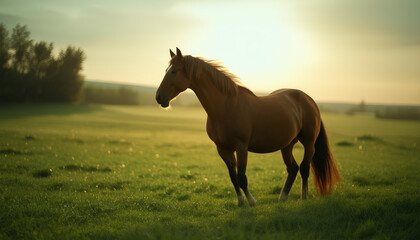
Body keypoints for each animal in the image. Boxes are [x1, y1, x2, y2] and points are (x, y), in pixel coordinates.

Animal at [156, 48, 340, 206]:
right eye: (166, 70)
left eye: (174, 72)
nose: (159, 97)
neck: (225, 107)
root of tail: (309, 100)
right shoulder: (223, 149)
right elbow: (233, 177)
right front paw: (241, 202)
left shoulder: (241, 147)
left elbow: (241, 177)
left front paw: (251, 202)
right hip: (287, 145)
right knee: (292, 168)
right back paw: (282, 197)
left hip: (308, 143)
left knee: (304, 168)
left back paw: (304, 197)